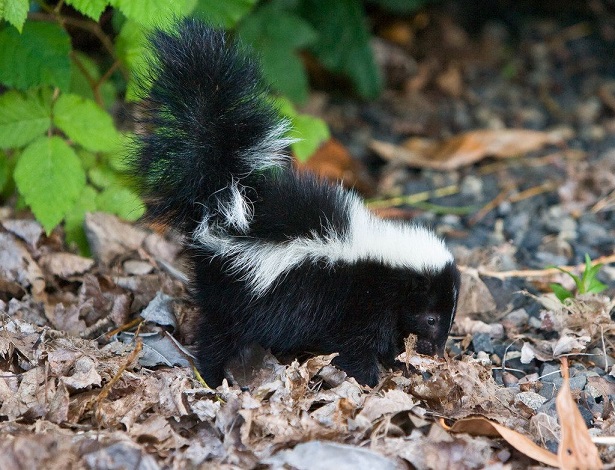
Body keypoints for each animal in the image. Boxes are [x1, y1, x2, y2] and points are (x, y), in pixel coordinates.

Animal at [130, 18, 460, 388]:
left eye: (447, 315)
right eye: (431, 318)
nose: (438, 351)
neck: (380, 256)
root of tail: (224, 205)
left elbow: (386, 335)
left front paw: (399, 363)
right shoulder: (357, 303)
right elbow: (357, 343)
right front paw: (370, 378)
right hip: (237, 293)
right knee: (216, 334)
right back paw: (211, 376)